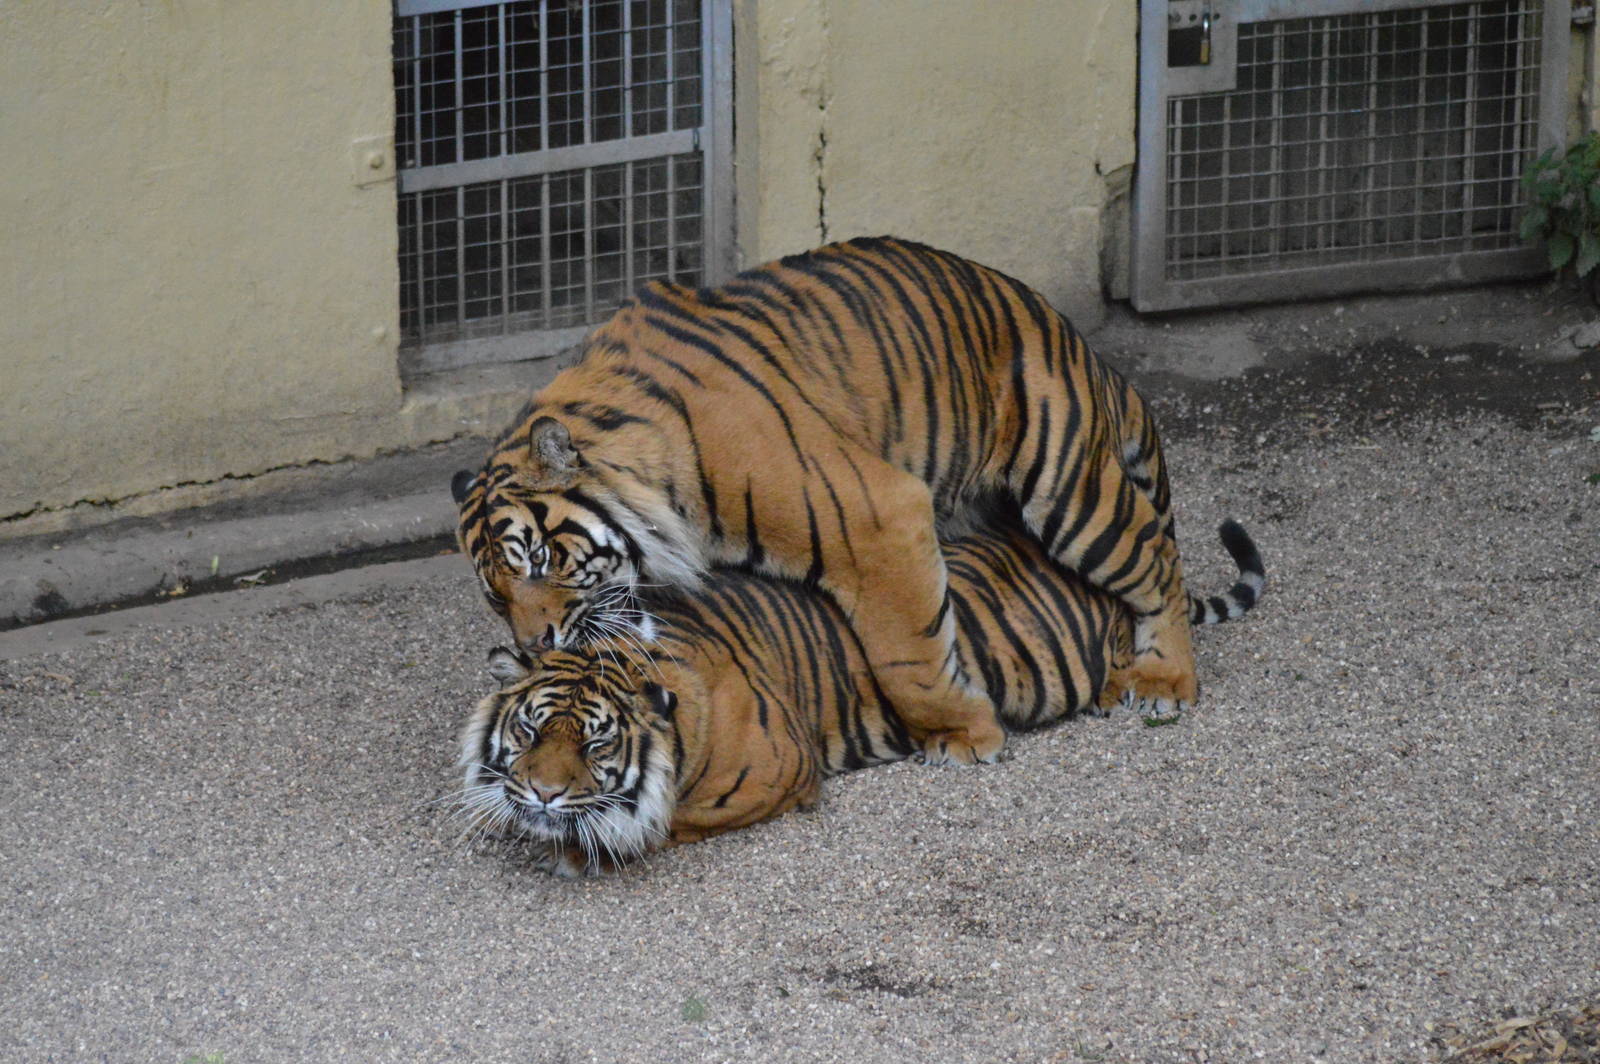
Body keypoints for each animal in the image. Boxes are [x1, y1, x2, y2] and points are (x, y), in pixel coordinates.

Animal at [452, 236, 1201, 768]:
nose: (536, 643)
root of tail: (1071, 335)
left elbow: (908, 657)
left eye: (540, 559)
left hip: (1071, 493)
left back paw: (1165, 679)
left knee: (1157, 561)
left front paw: (962, 733)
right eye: (495, 594)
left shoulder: (877, 517)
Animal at [455, 517, 1265, 876]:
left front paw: (581, 846)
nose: (543, 793)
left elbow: (662, 823)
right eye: (530, 732)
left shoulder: (778, 774)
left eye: (596, 741)